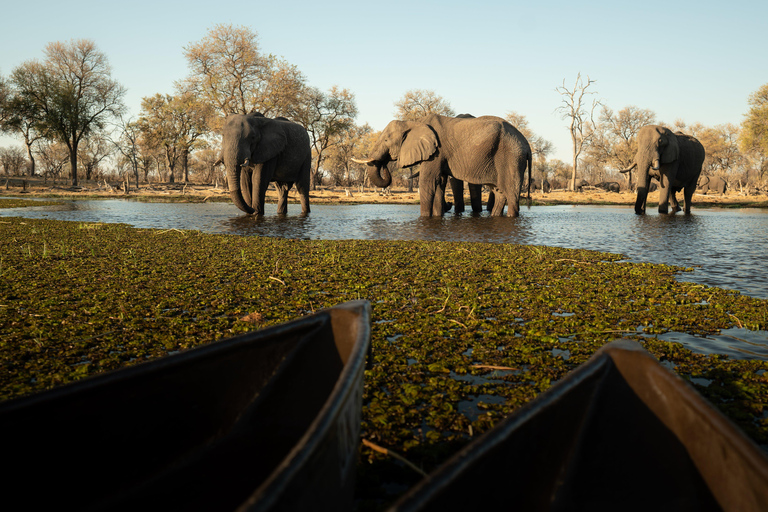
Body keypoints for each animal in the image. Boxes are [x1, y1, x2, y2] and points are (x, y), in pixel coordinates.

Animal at [352, 114, 528, 216]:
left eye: (386, 140)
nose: (384, 164)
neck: (416, 123)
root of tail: (526, 143)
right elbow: (439, 183)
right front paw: (437, 216)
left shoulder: (436, 152)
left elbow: (427, 183)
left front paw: (424, 218)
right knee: (500, 192)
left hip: (512, 156)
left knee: (511, 193)